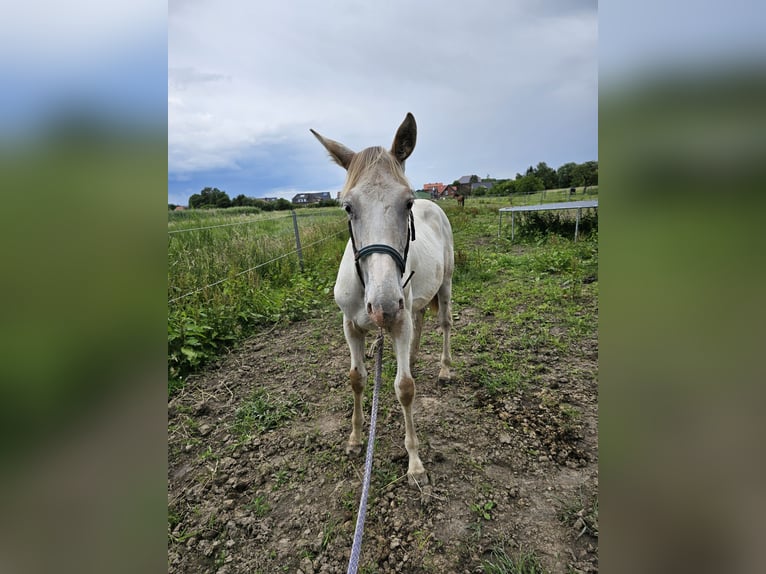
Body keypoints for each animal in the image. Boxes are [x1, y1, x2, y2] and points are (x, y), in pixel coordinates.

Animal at [312, 112, 456, 486]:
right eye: (348, 207)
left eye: (407, 203)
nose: (384, 307)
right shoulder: (351, 325)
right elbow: (357, 378)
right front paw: (354, 438)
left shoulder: (399, 320)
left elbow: (405, 388)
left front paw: (415, 464)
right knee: (420, 318)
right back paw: (415, 357)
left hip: (445, 284)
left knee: (444, 322)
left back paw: (444, 369)